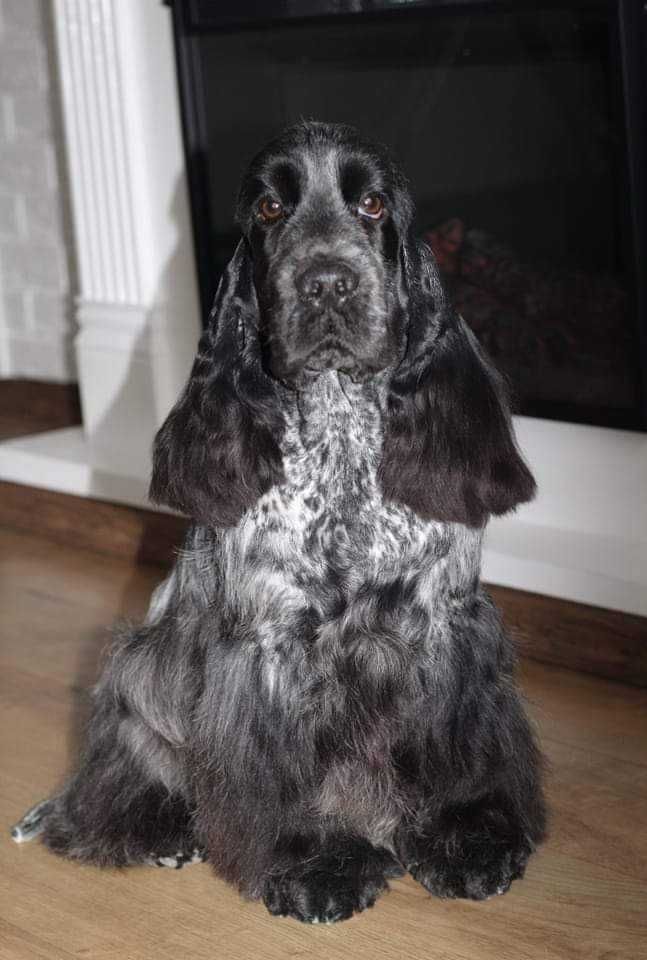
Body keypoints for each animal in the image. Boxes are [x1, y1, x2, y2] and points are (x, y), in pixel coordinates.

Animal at [12, 120, 544, 924]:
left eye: (372, 204)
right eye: (268, 208)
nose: (325, 282)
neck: (342, 444)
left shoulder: (449, 626)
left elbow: (463, 749)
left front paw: (470, 842)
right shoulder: (269, 650)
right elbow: (281, 773)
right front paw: (319, 866)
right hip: (138, 670)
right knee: (115, 780)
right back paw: (161, 831)